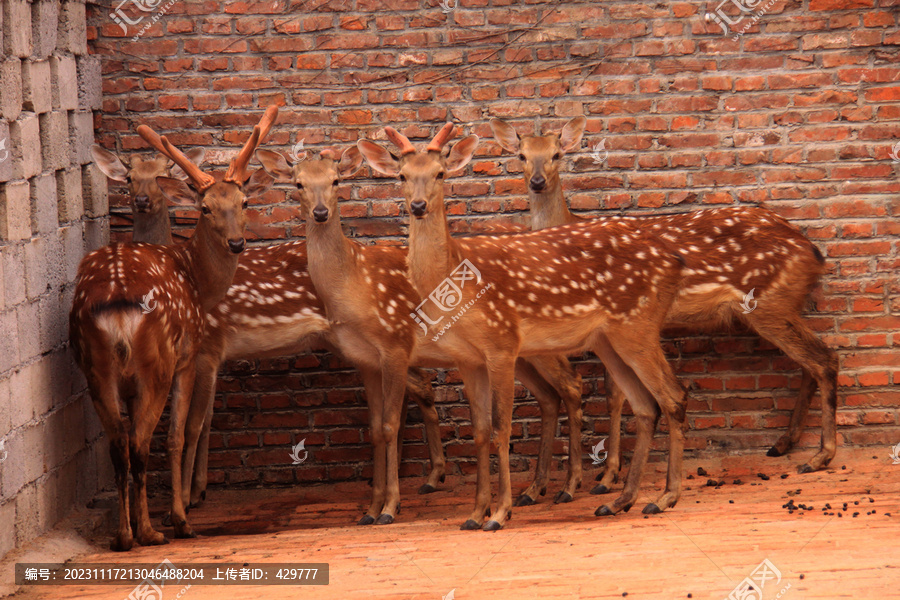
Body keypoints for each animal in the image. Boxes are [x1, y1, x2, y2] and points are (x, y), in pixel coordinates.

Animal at [69, 106, 278, 548]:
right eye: (205, 208)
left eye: (244, 201)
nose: (237, 243)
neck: (197, 279)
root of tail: (117, 303)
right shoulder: (189, 358)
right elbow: (179, 435)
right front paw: (180, 515)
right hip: (157, 363)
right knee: (141, 441)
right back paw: (154, 532)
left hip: (95, 367)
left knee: (119, 444)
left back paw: (123, 536)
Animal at [358, 123, 696, 528]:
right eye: (402, 176)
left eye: (440, 173)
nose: (418, 206)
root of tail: (676, 261)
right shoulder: (467, 359)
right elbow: (480, 431)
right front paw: (475, 513)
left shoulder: (502, 343)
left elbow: (501, 428)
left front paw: (500, 512)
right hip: (608, 340)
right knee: (646, 406)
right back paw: (620, 501)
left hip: (638, 326)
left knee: (673, 396)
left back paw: (664, 497)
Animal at [488, 117, 840, 492]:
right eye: (522, 155)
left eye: (557, 154)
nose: (537, 182)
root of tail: (813, 251)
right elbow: (616, 394)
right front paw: (610, 473)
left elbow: (616, 396)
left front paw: (609, 475)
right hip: (783, 306)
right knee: (810, 363)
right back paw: (784, 443)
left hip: (770, 304)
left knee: (823, 360)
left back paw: (819, 456)